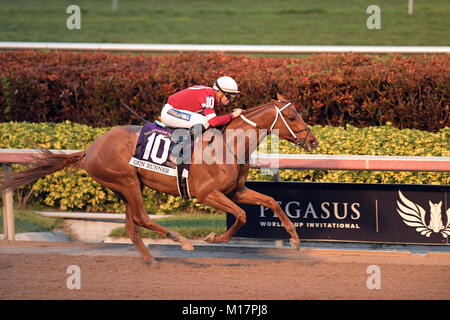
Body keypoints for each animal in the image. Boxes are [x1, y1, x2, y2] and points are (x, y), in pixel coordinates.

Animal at [0, 94, 318, 266]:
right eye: (292, 115)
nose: (313, 141)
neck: (229, 144)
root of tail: (90, 148)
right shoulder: (208, 194)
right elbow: (240, 216)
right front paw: (213, 238)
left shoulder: (235, 190)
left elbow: (271, 201)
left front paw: (295, 239)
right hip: (127, 181)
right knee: (141, 218)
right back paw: (182, 241)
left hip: (128, 186)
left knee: (132, 226)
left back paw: (151, 259)